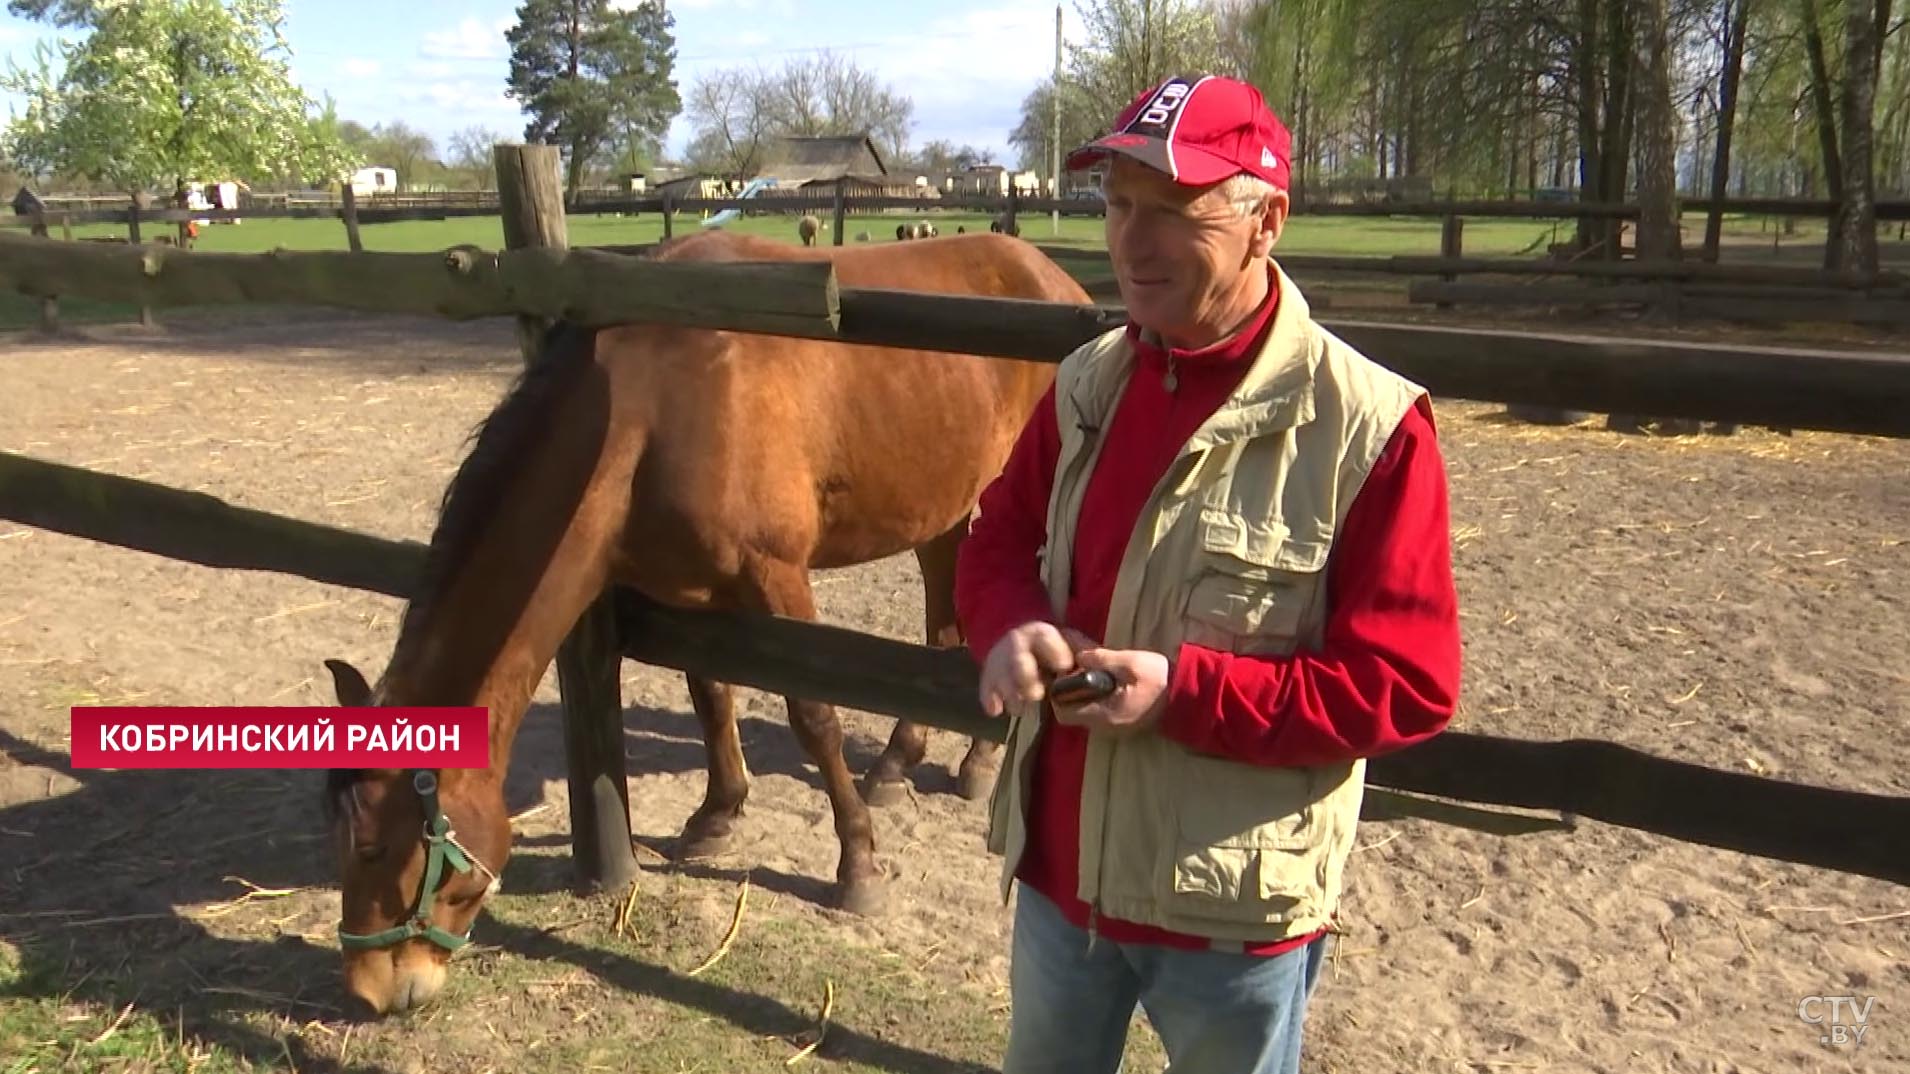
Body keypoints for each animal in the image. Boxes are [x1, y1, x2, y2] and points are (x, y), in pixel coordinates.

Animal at [315, 227, 1092, 1009]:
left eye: (376, 846)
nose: (370, 990)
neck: (648, 407)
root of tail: (1055, 281)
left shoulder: (777, 575)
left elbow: (814, 718)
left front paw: (858, 867)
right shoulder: (685, 592)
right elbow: (709, 695)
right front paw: (717, 815)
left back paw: (971, 762)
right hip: (943, 507)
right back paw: (904, 763)